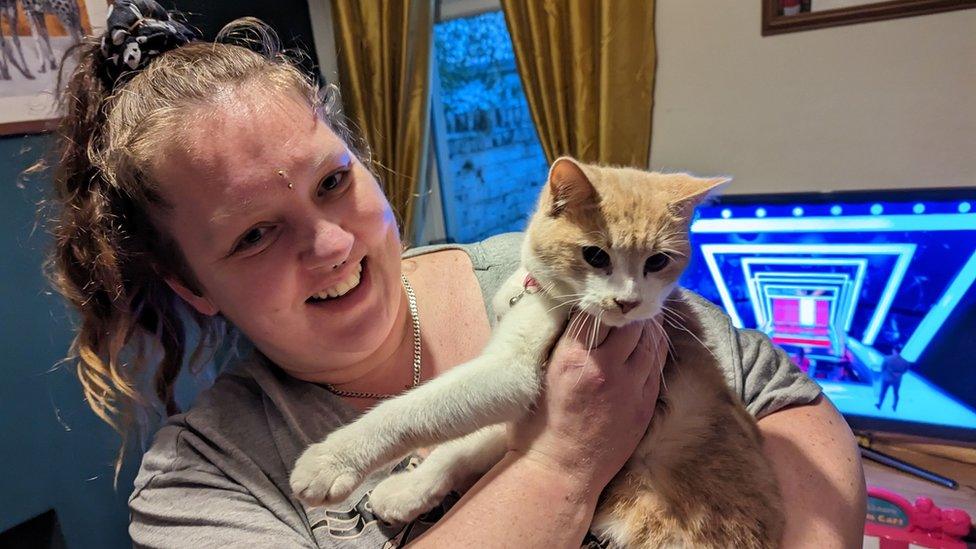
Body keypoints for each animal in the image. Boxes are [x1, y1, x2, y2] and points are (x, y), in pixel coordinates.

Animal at [290, 156, 784, 544]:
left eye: (657, 261)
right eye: (595, 255)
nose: (627, 302)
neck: (543, 293)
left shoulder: (512, 374)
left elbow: (418, 408)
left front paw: (333, 459)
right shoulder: (521, 400)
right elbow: (464, 445)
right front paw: (409, 490)